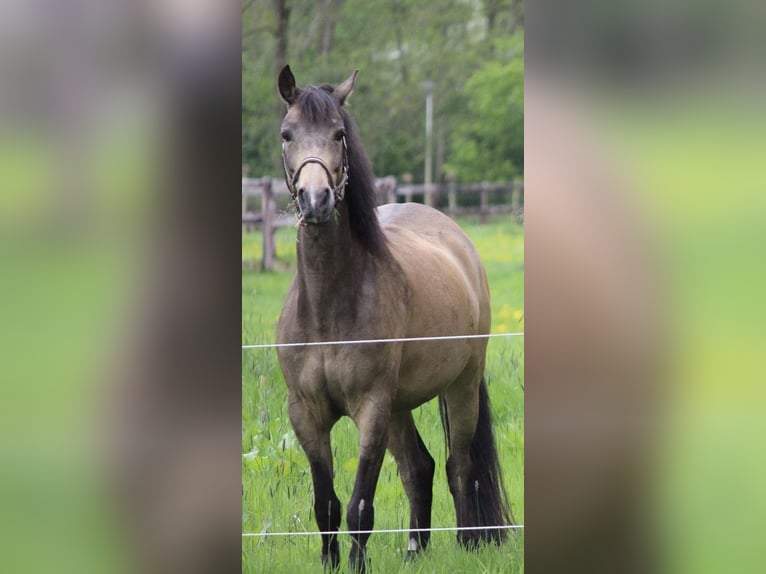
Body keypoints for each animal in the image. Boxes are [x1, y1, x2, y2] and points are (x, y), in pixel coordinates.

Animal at [272, 66, 512, 572]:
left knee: (460, 465)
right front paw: (331, 563)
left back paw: (467, 543)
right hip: (401, 405)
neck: (327, 309)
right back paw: (414, 549)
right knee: (419, 467)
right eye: (287, 134)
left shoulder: (371, 409)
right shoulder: (305, 414)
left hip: (460, 385)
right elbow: (326, 505)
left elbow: (360, 505)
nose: (316, 200)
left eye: (339, 134)